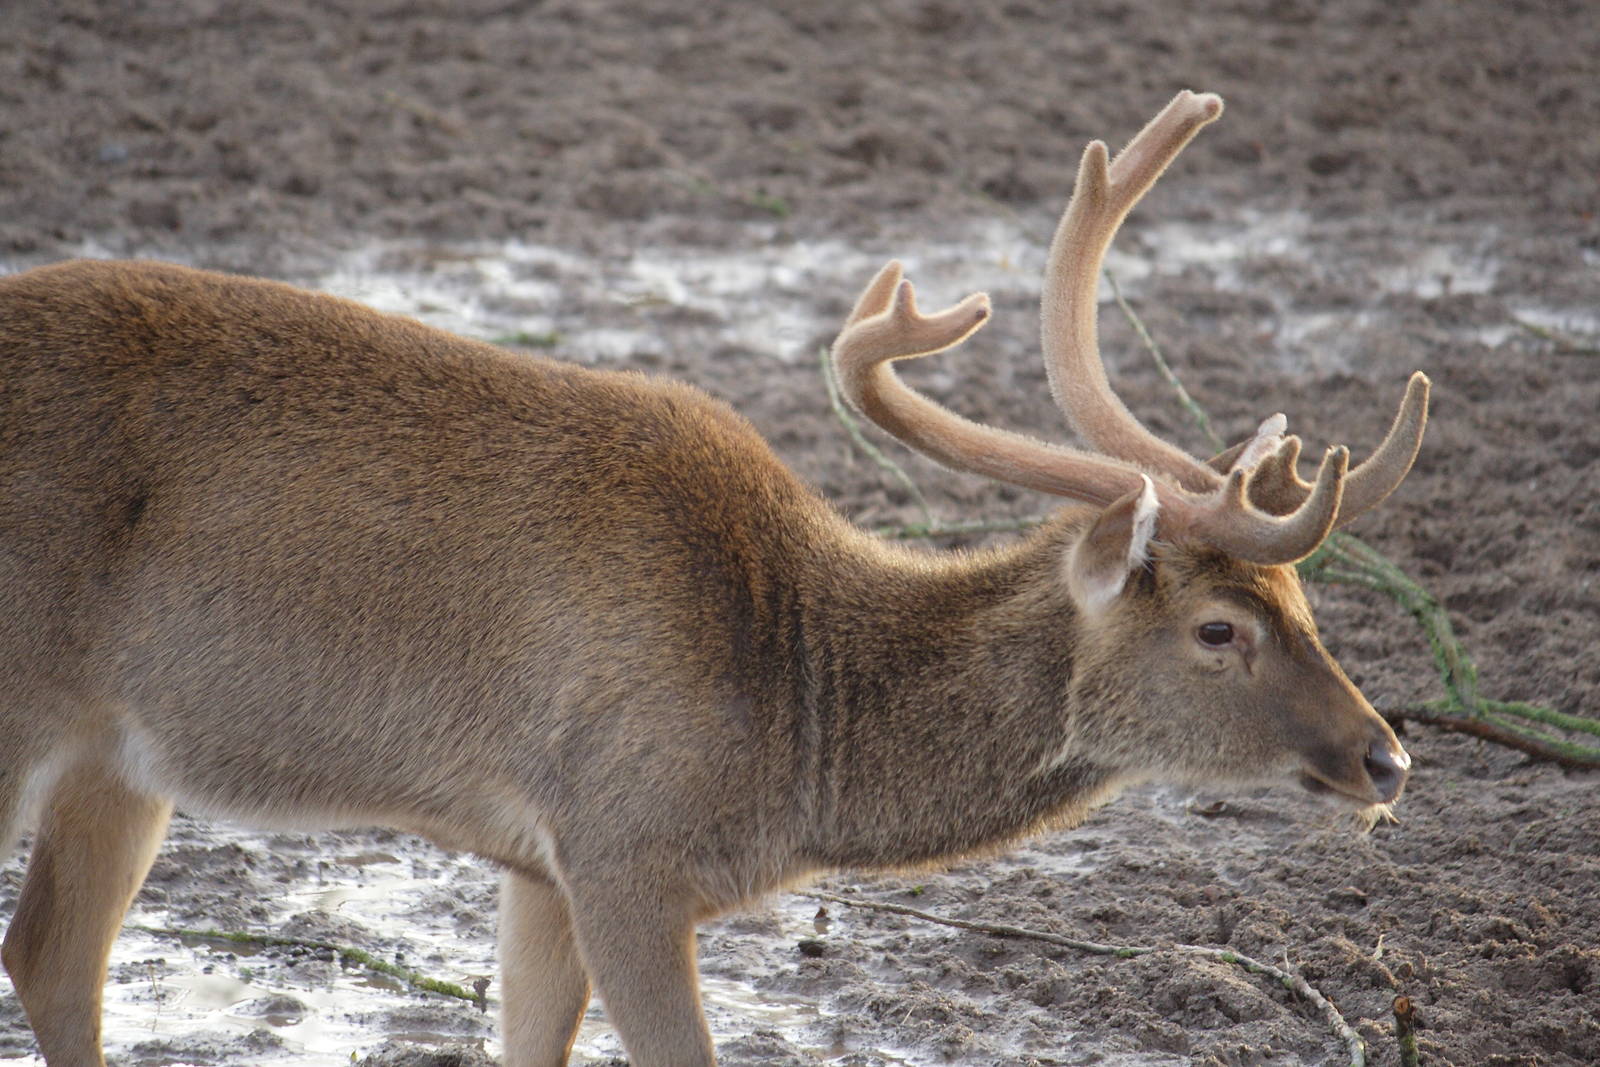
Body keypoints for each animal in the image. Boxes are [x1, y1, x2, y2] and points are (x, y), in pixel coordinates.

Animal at [0, 90, 1424, 1066]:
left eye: (1307, 605)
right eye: (1220, 627)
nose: (1387, 755)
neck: (788, 728)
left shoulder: (539, 857)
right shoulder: (623, 835)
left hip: (121, 753)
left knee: (54, 956)